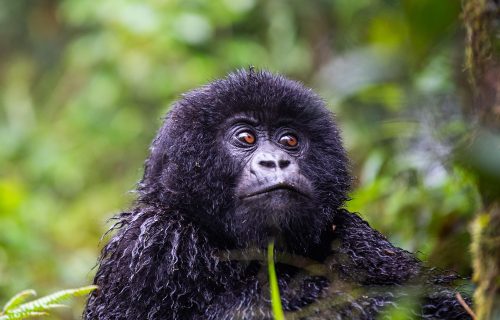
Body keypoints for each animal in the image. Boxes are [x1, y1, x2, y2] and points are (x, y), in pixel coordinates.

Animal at [84, 70, 470, 320]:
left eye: (289, 140)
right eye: (246, 138)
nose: (276, 161)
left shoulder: (358, 241)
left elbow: (443, 303)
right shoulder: (151, 243)